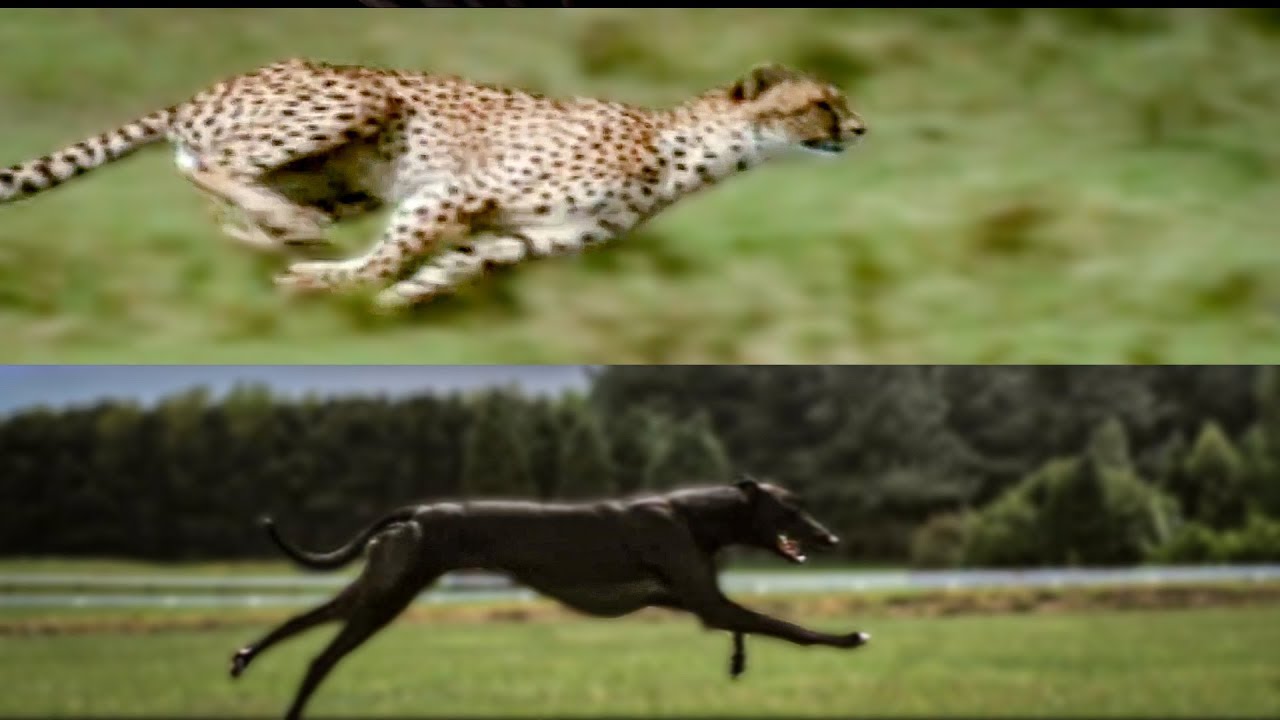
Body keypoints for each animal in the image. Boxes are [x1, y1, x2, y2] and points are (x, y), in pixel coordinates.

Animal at [0, 58, 866, 311]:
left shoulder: (516, 239)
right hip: (359, 99)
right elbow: (392, 255)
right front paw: (336, 285)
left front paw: (386, 305)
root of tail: (210, 87)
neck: (683, 147)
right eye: (821, 102)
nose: (860, 130)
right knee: (211, 162)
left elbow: (440, 270)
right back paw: (286, 228)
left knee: (223, 187)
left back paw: (269, 229)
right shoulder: (450, 193)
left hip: (345, 180)